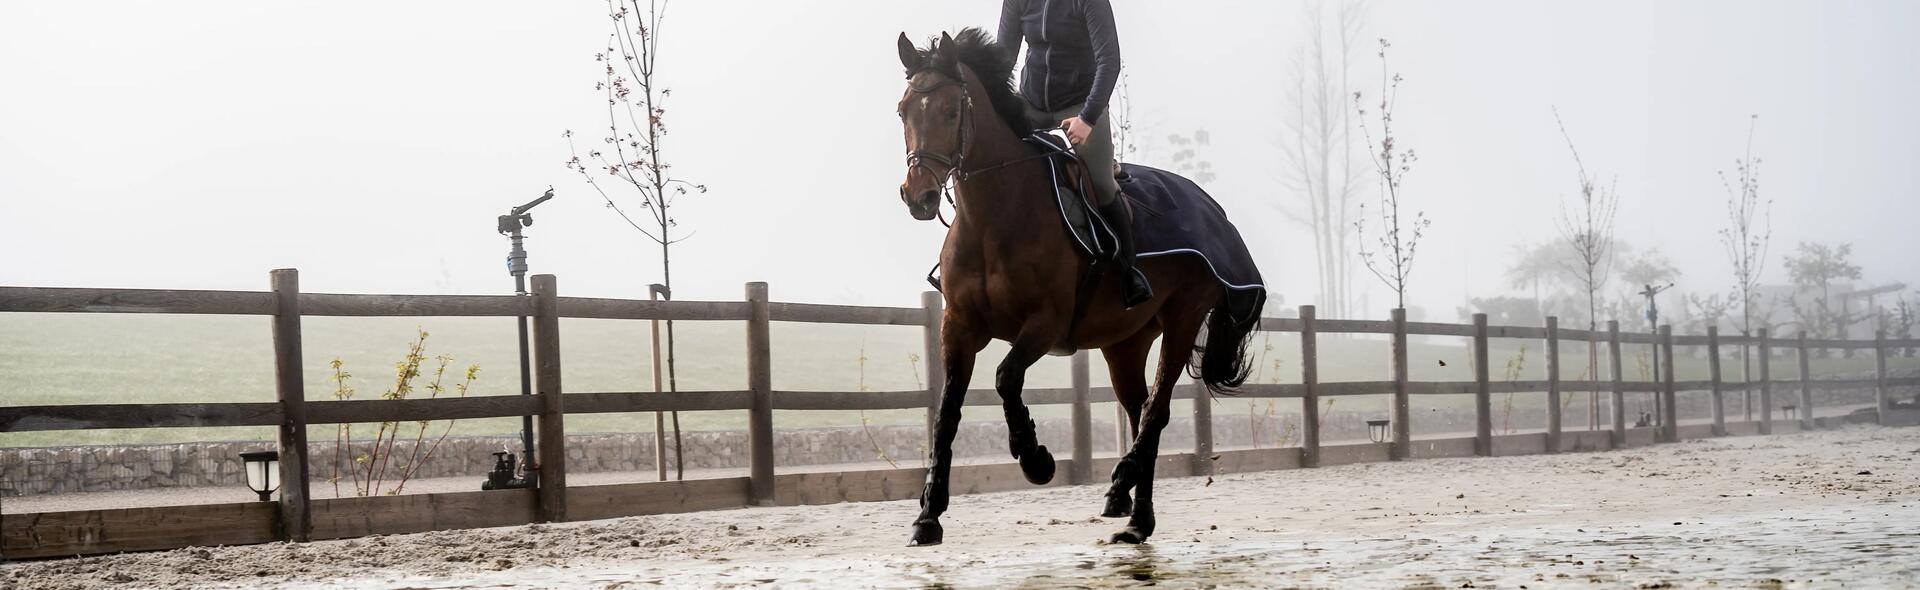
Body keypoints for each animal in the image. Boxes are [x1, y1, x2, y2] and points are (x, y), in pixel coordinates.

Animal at [894, 30, 1259, 549]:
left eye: (950, 110)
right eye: (903, 109)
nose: (919, 195)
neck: (994, 216)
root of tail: (1212, 207)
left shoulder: (1045, 325)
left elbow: (1006, 377)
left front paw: (1036, 459)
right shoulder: (958, 328)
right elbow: (946, 414)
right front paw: (927, 517)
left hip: (1183, 319)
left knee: (1155, 411)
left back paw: (1126, 488)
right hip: (1125, 343)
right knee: (1139, 408)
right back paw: (1132, 511)